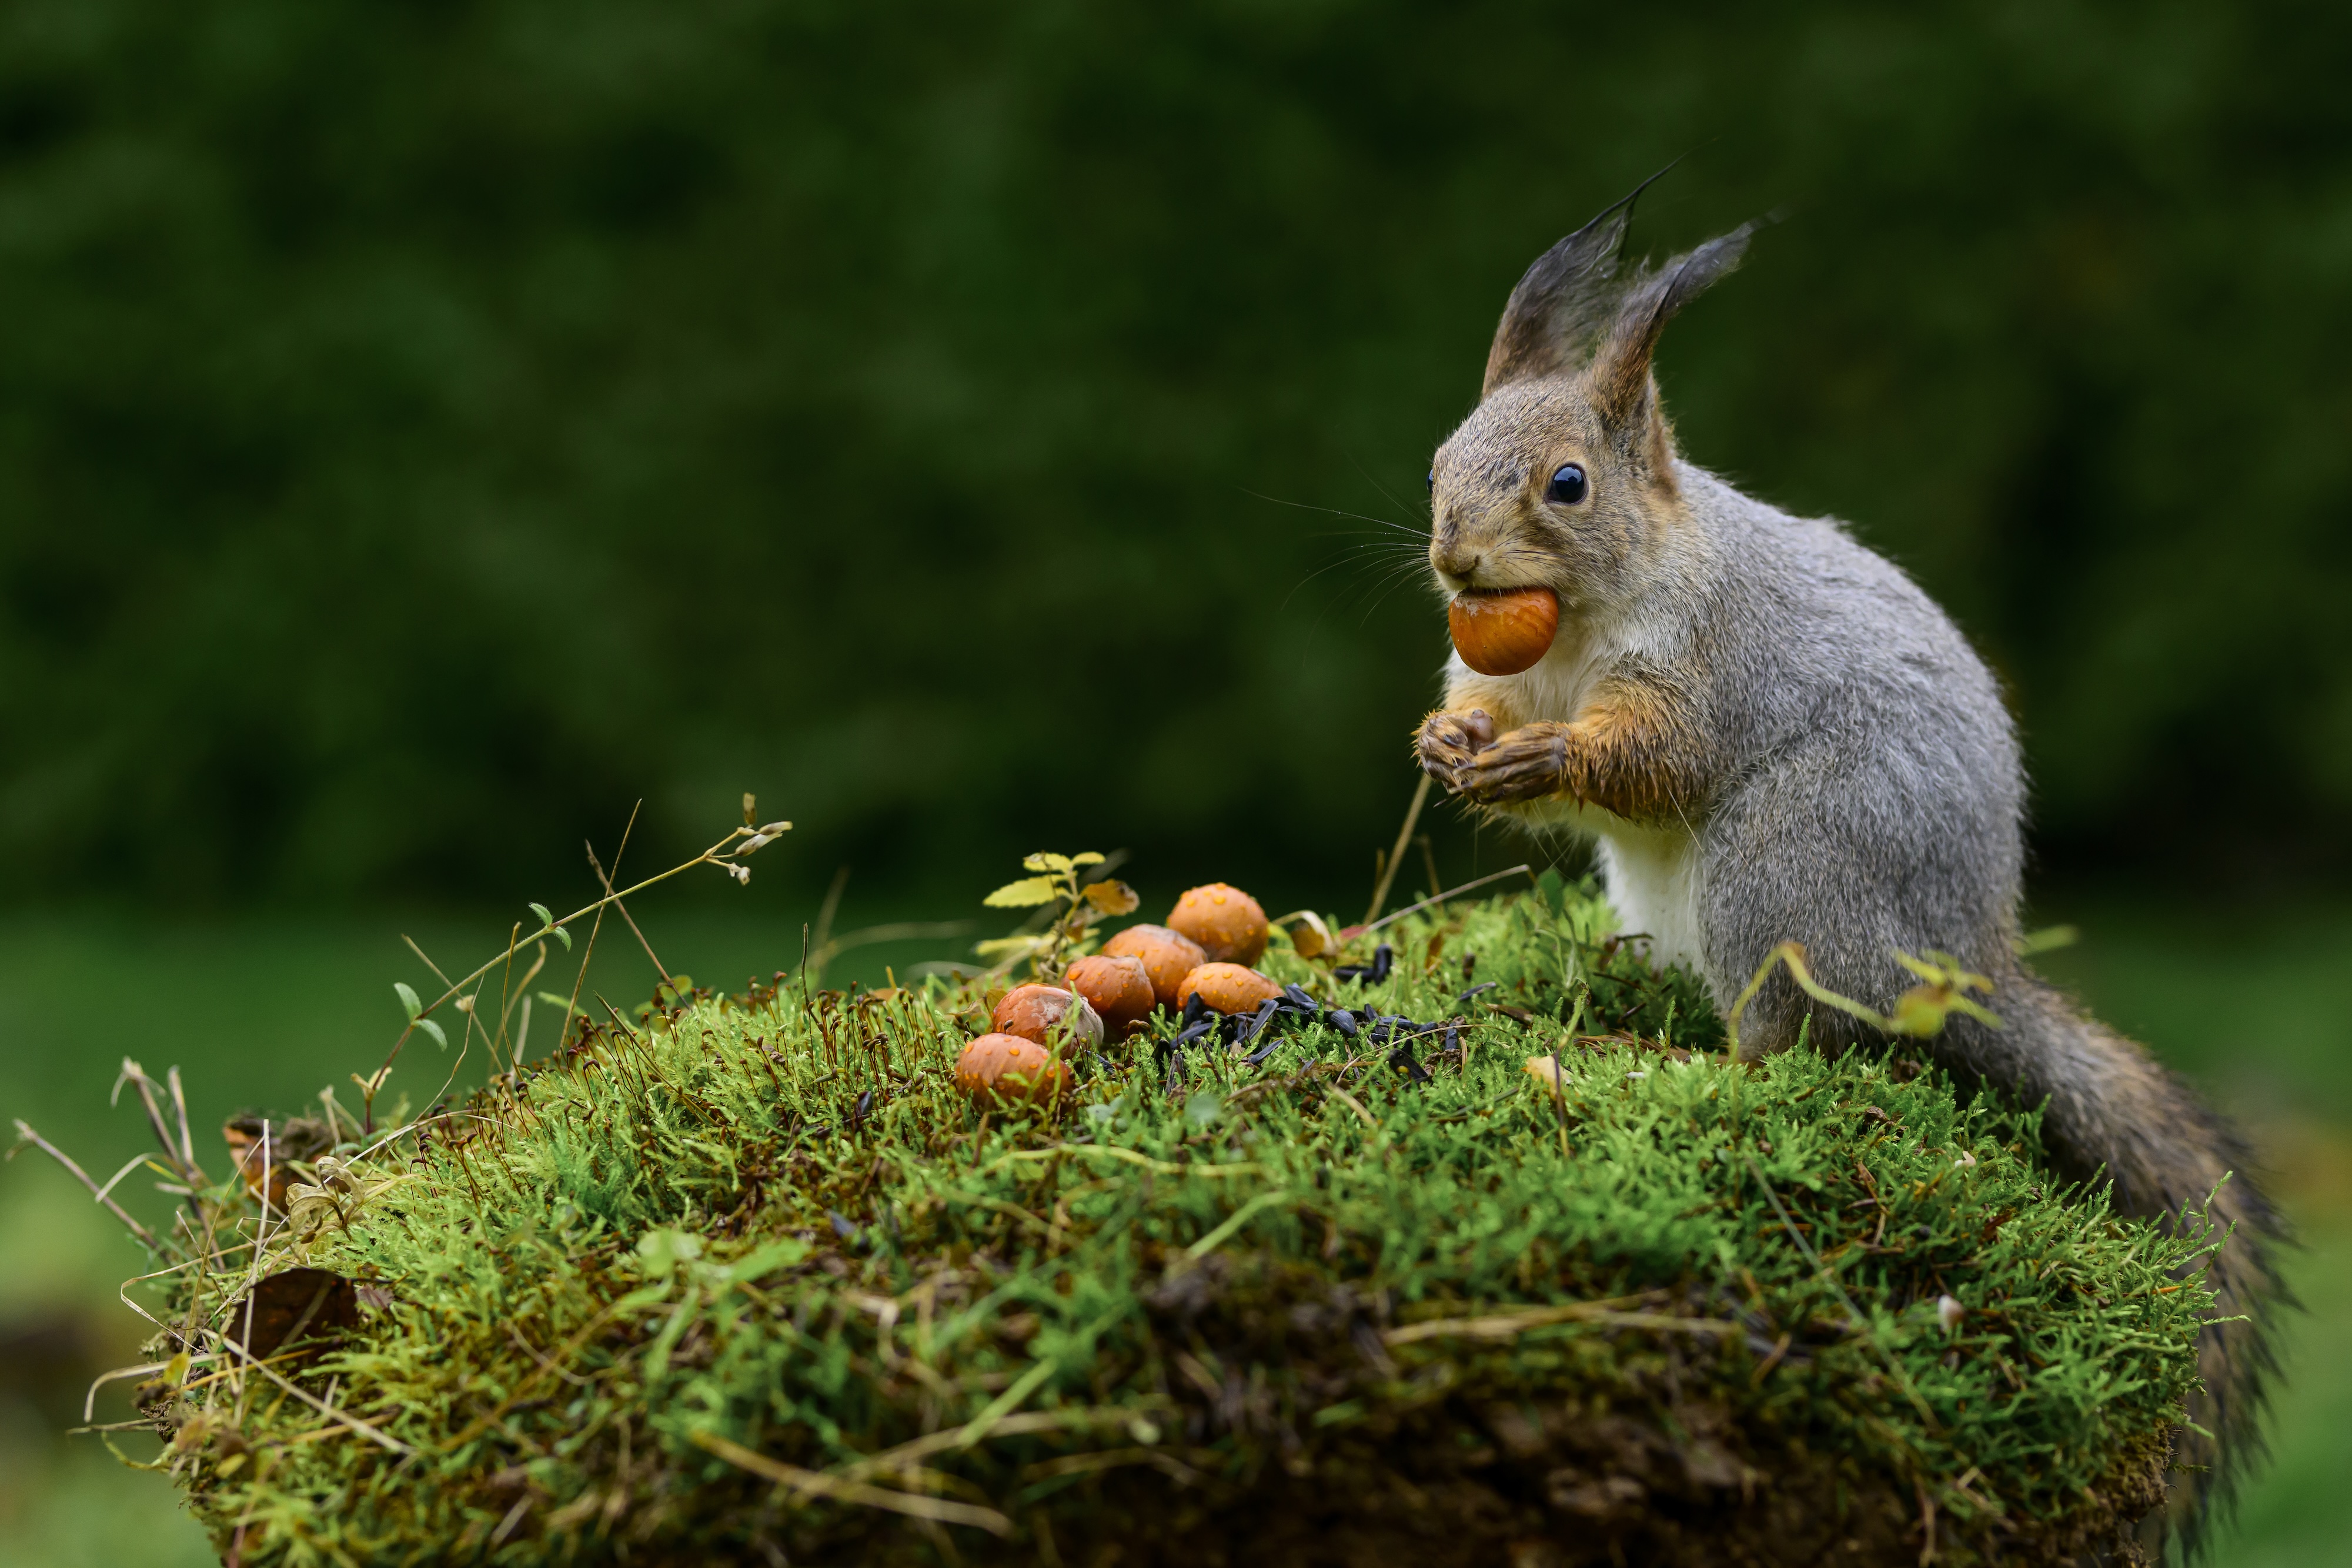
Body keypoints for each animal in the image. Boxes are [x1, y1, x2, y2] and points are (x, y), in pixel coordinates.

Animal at [1411, 192, 2277, 1542]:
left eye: (1568, 484)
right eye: (1439, 460)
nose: (1454, 560)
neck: (1580, 622)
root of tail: (1960, 966)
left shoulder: (1711, 666)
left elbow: (1649, 762)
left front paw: (1552, 753)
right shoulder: (1503, 669)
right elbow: (1485, 713)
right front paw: (1450, 744)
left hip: (1785, 874)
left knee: (1787, 1041)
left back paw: (1684, 1062)